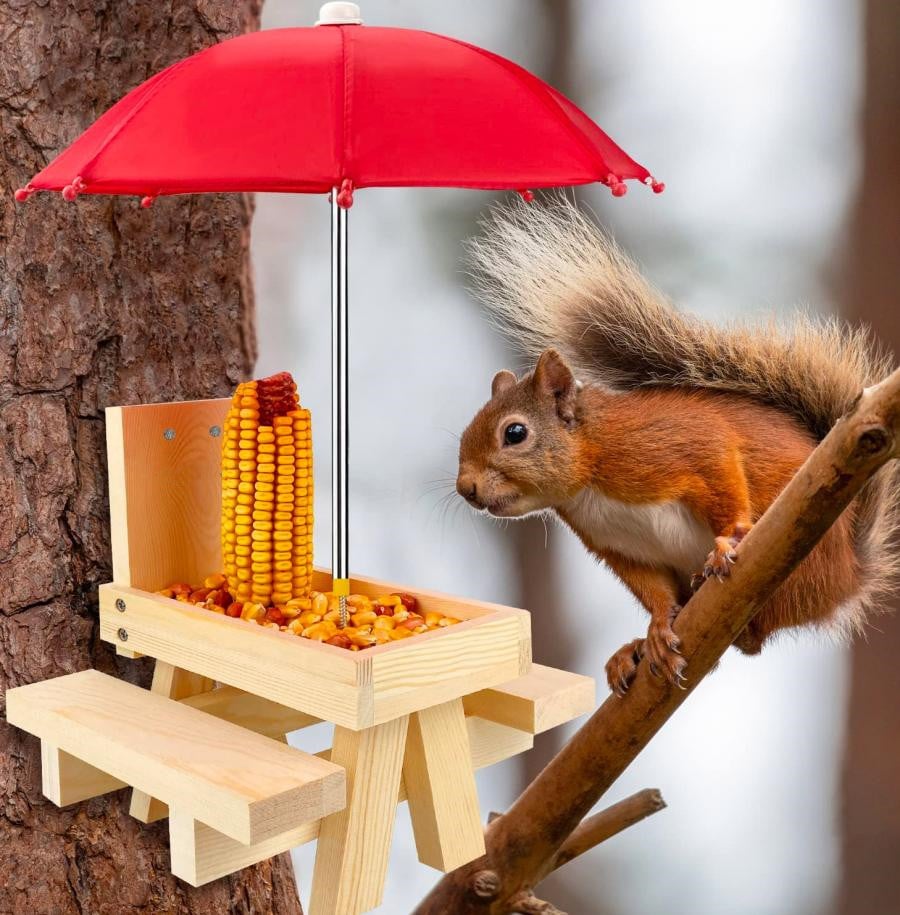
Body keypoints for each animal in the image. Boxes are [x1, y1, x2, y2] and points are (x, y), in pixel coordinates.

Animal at [456, 195, 900, 695]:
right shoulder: (621, 548)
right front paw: (654, 630)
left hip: (798, 565)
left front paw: (728, 541)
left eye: (514, 433)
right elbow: (653, 591)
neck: (591, 474)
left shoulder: (683, 444)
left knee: (759, 634)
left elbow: (721, 471)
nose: (465, 488)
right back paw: (633, 651)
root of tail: (849, 576)